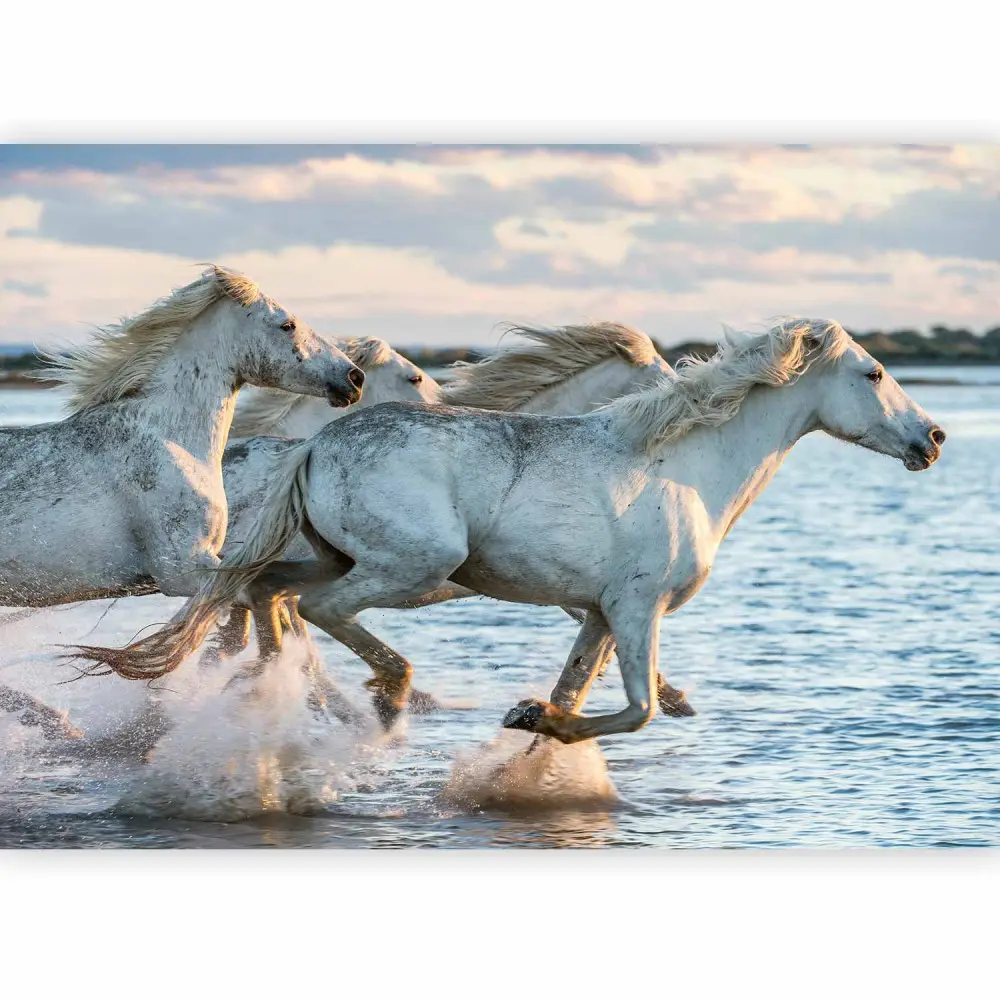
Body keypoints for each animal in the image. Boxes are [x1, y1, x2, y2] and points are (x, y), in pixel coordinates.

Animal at [76, 318, 946, 746]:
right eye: (873, 373)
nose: (932, 438)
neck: (686, 467)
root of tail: (316, 444)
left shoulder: (596, 613)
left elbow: (585, 688)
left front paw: (542, 725)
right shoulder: (637, 609)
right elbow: (637, 709)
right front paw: (534, 718)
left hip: (332, 559)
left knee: (265, 595)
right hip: (414, 564)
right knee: (314, 613)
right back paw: (388, 694)